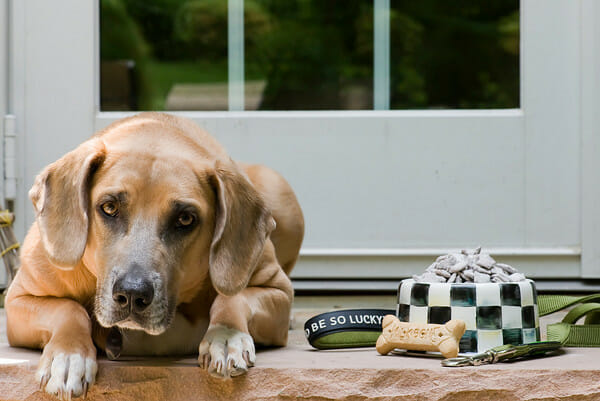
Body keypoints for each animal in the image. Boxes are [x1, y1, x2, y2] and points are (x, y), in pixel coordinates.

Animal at [4, 111, 304, 396]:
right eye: (109, 207)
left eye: (185, 219)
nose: (132, 294)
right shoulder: (18, 300)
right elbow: (68, 308)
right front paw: (68, 356)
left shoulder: (275, 289)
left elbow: (232, 298)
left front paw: (226, 335)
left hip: (280, 191)